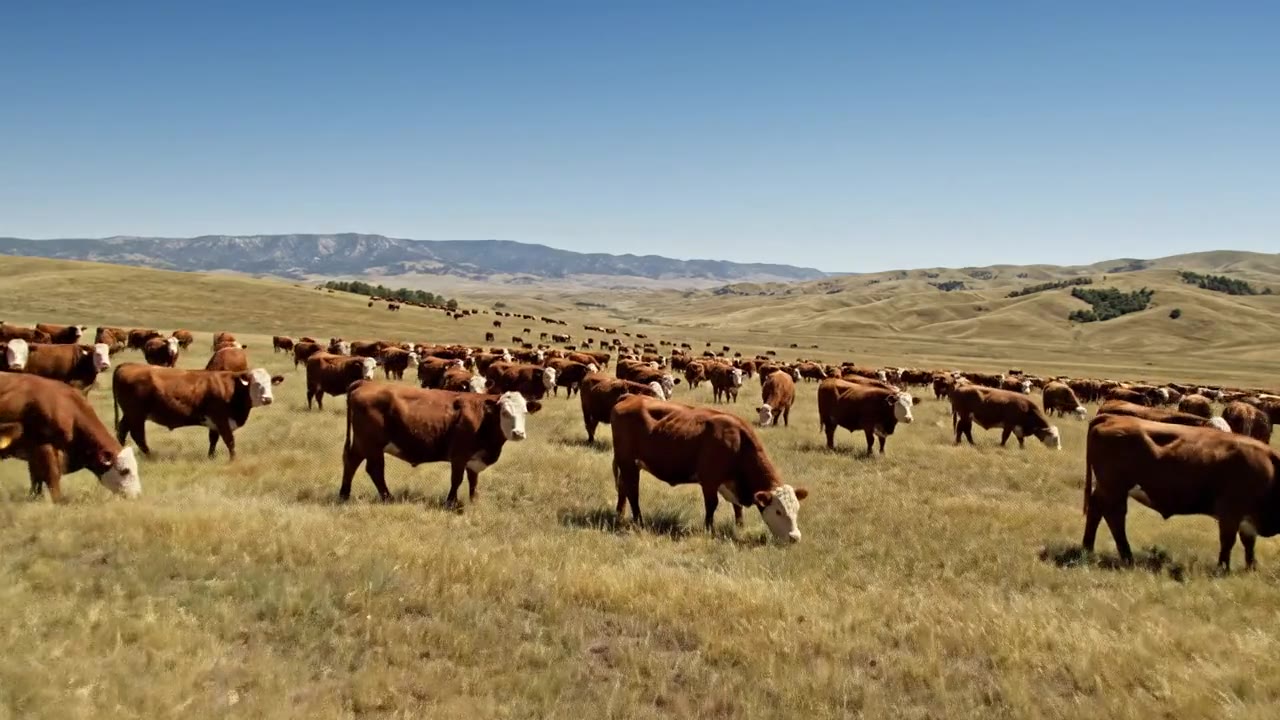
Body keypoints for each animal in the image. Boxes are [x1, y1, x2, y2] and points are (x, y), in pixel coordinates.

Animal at [0, 372, 141, 501]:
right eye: (125, 470)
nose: (137, 494)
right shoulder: (44, 447)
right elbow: (51, 476)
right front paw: (57, 501)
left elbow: (35, 478)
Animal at [112, 363, 284, 460]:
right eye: (256, 383)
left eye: (269, 383)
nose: (267, 399)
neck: (233, 388)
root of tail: (127, 365)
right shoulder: (221, 419)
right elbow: (230, 441)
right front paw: (233, 460)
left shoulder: (214, 423)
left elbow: (213, 440)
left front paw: (211, 457)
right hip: (136, 414)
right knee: (138, 435)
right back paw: (149, 456)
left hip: (129, 414)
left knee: (122, 431)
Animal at [340, 382, 542, 506]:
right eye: (505, 413)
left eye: (524, 412)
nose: (518, 433)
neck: (483, 416)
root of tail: (365, 383)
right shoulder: (459, 456)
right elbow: (457, 479)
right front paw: (451, 503)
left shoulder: (474, 459)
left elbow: (473, 480)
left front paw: (474, 500)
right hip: (372, 445)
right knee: (375, 470)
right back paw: (387, 498)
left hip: (361, 443)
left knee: (351, 463)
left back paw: (344, 494)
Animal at [609, 395, 809, 543]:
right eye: (778, 511)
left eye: (797, 510)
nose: (795, 537)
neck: (738, 442)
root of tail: (631, 397)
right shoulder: (710, 481)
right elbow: (712, 506)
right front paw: (709, 530)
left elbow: (737, 508)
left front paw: (740, 527)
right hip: (629, 463)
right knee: (632, 492)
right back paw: (638, 521)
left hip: (626, 465)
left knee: (623, 488)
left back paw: (620, 515)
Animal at [1082, 413, 1280, 570]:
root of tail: (1112, 418)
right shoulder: (1230, 512)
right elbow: (1228, 541)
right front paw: (1223, 568)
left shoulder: (1247, 517)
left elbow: (1249, 542)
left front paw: (1251, 568)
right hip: (1114, 488)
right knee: (1114, 517)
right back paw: (1127, 557)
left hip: (1106, 488)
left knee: (1096, 510)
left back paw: (1088, 549)